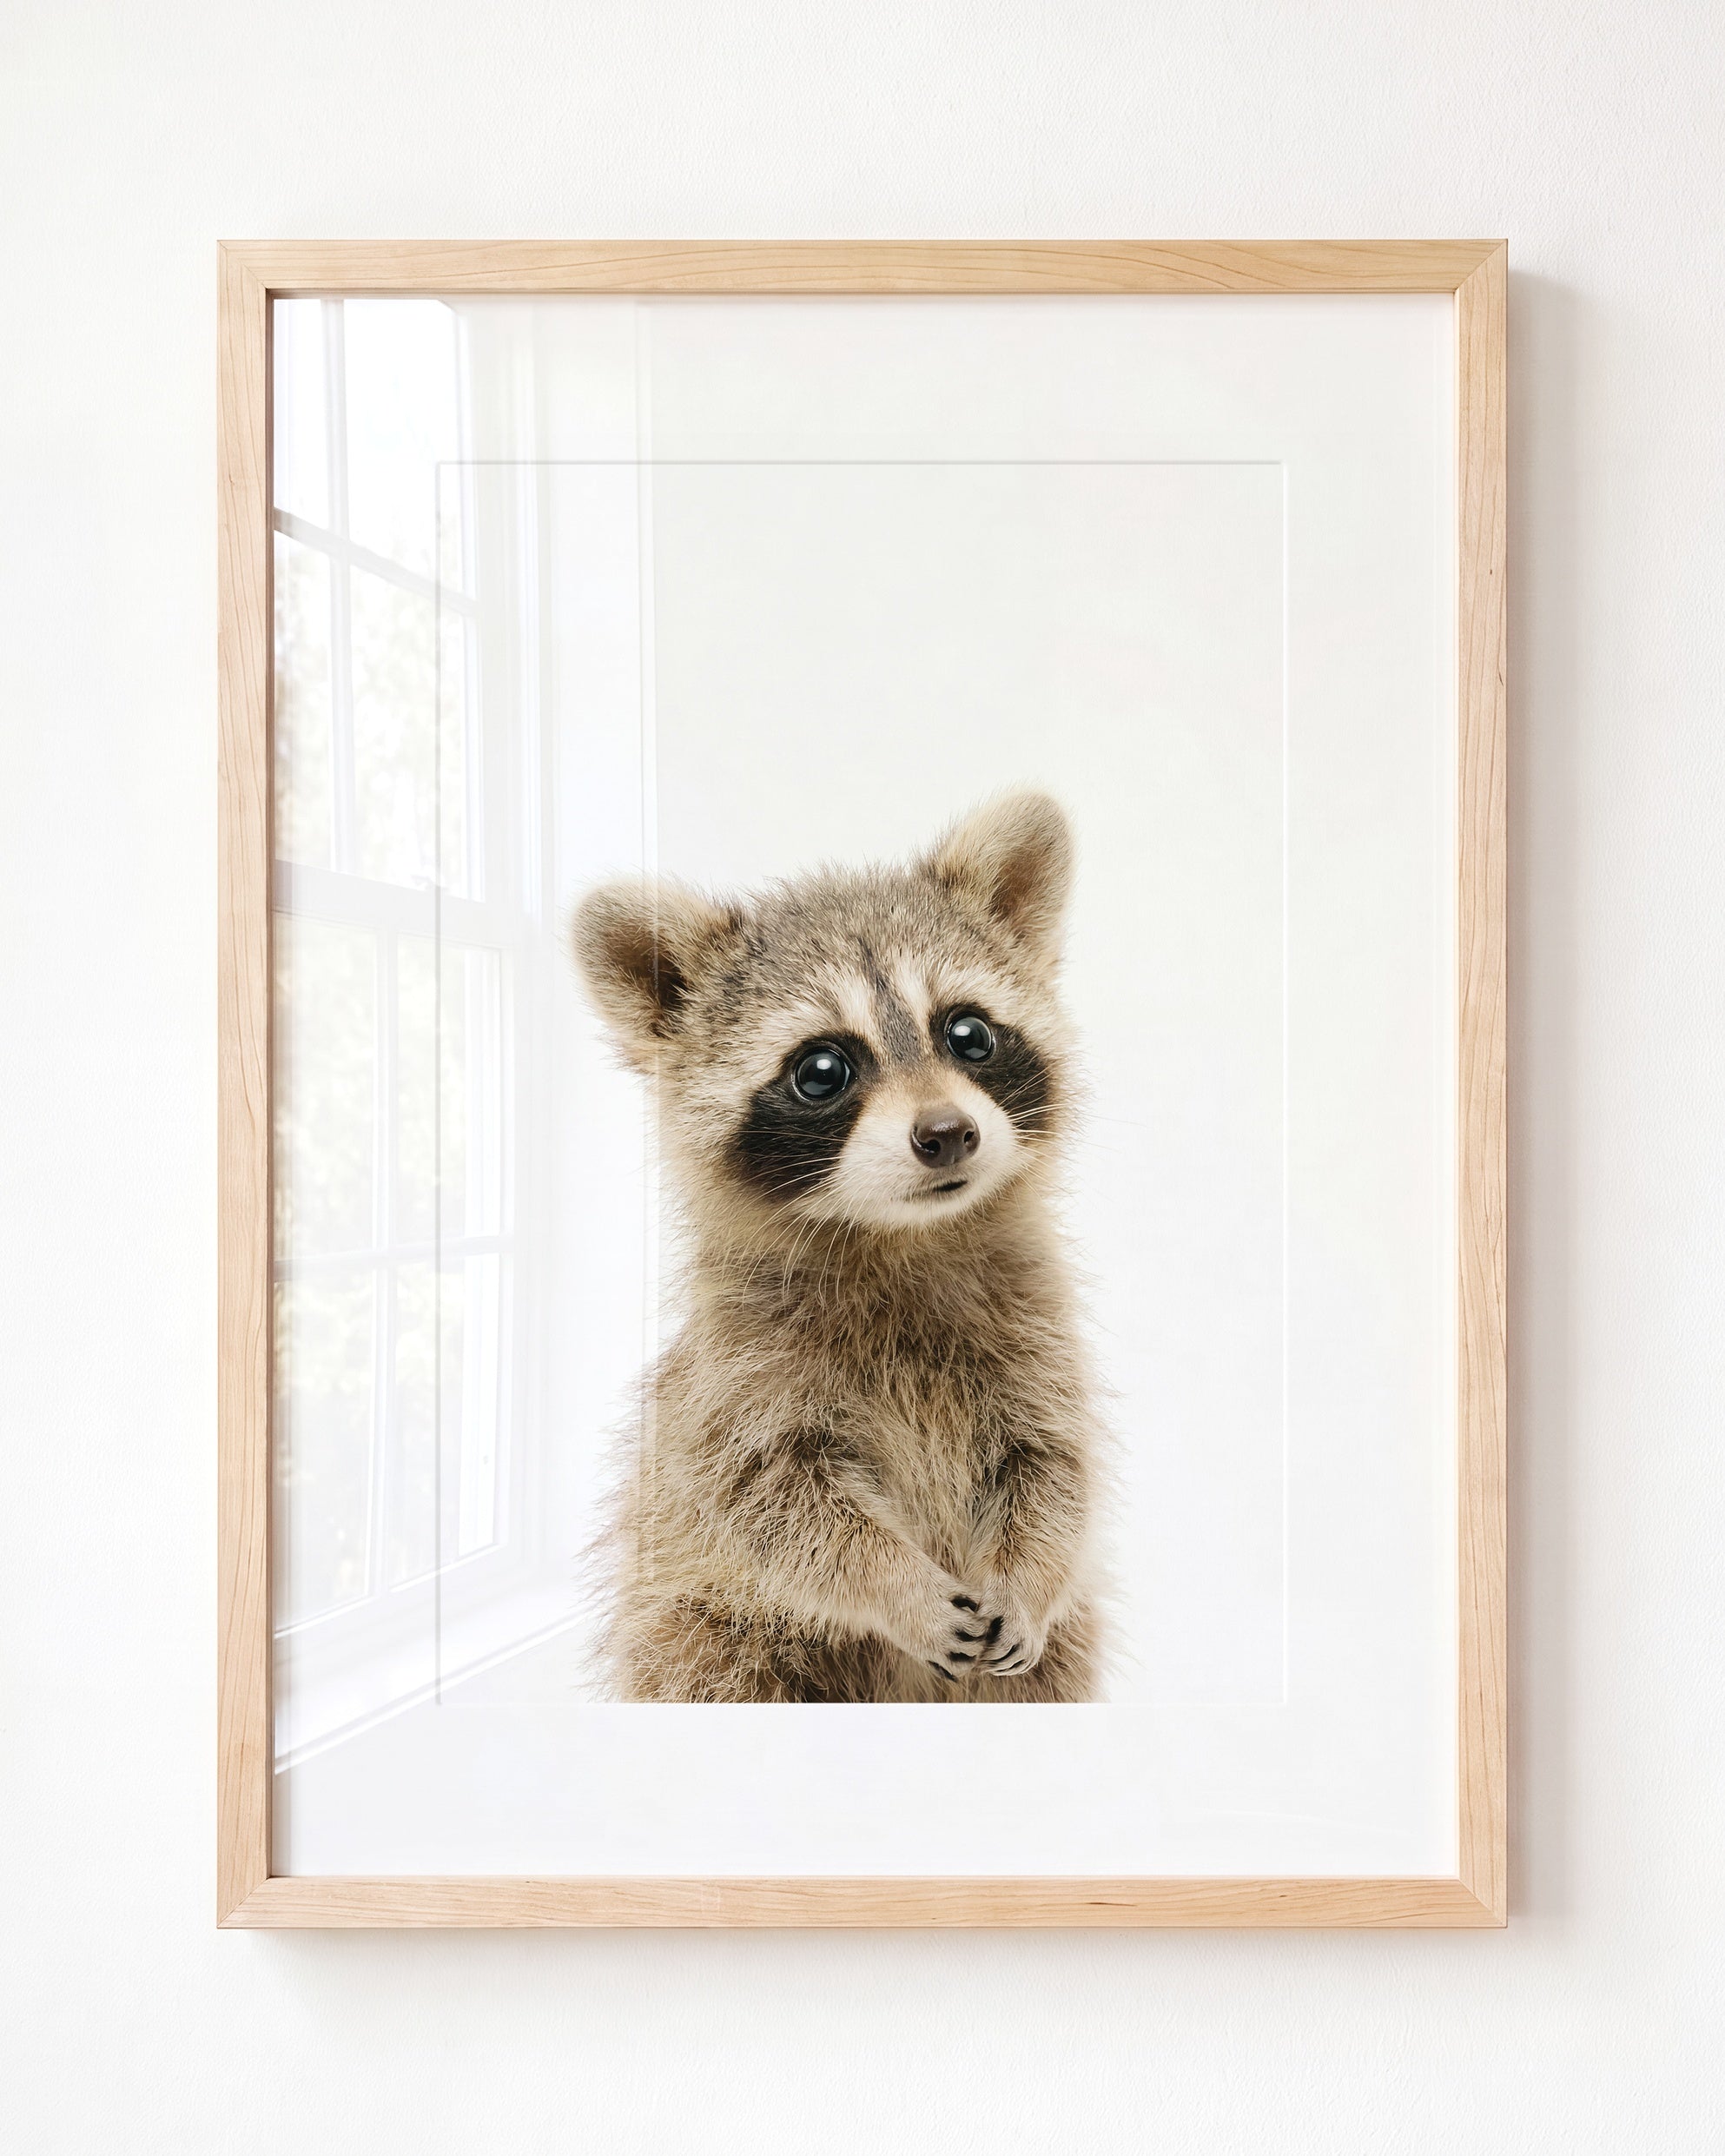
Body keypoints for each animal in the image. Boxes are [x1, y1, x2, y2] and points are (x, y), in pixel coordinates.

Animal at [571, 791, 1104, 1702]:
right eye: (822, 1070)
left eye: (968, 1034)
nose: (947, 1134)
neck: (902, 1238)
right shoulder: (736, 1382)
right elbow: (775, 1507)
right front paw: (896, 1587)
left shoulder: (1038, 1338)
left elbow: (1054, 1469)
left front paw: (1029, 1578)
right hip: (705, 1633)